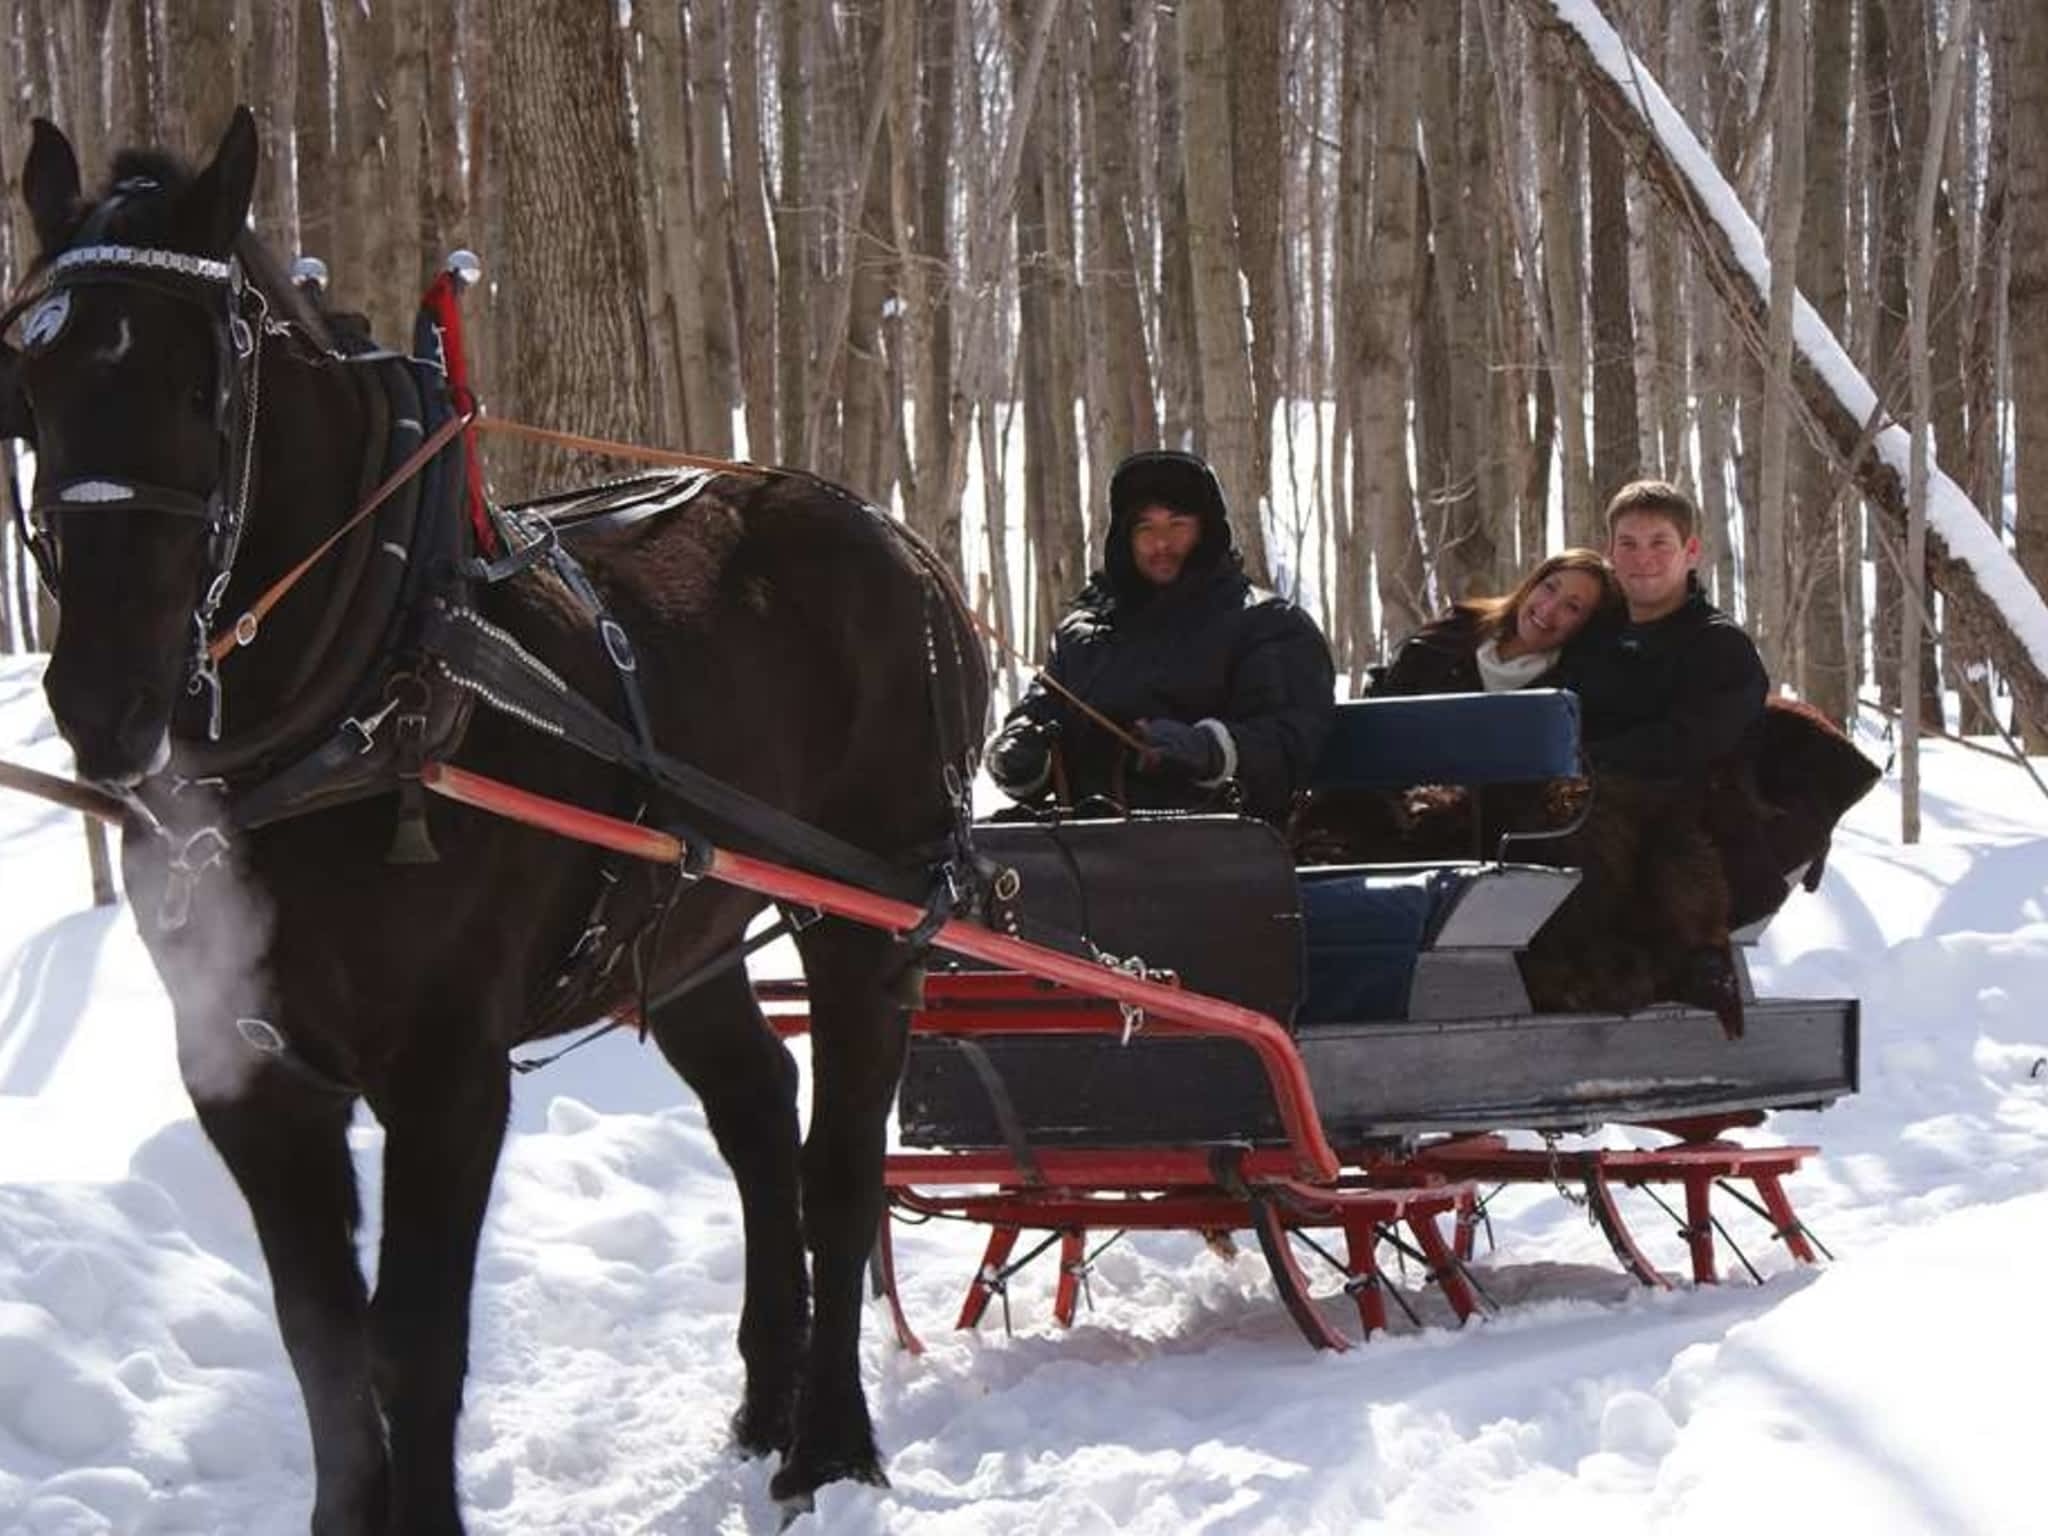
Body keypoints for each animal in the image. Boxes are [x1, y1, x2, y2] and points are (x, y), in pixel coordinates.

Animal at [2, 105, 991, 1531]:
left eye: (204, 389)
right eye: (29, 391)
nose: (101, 698)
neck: (361, 686)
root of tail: (897, 542)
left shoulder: (447, 1072)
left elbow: (413, 1339)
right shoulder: (244, 1072)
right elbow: (321, 1340)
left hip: (871, 911)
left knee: (838, 1166)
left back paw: (828, 1450)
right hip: (679, 926)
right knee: (758, 1115)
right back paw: (765, 1400)